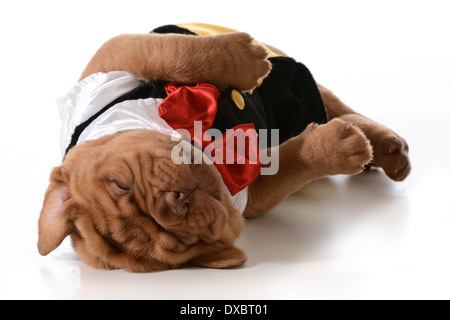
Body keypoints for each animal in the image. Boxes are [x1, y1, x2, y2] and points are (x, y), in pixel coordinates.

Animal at [38, 23, 412, 272]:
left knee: (332, 101)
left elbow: (174, 52)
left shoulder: (113, 59)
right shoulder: (253, 193)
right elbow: (291, 163)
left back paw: (387, 146)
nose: (175, 203)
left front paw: (245, 59)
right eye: (179, 243)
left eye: (121, 185)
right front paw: (334, 148)